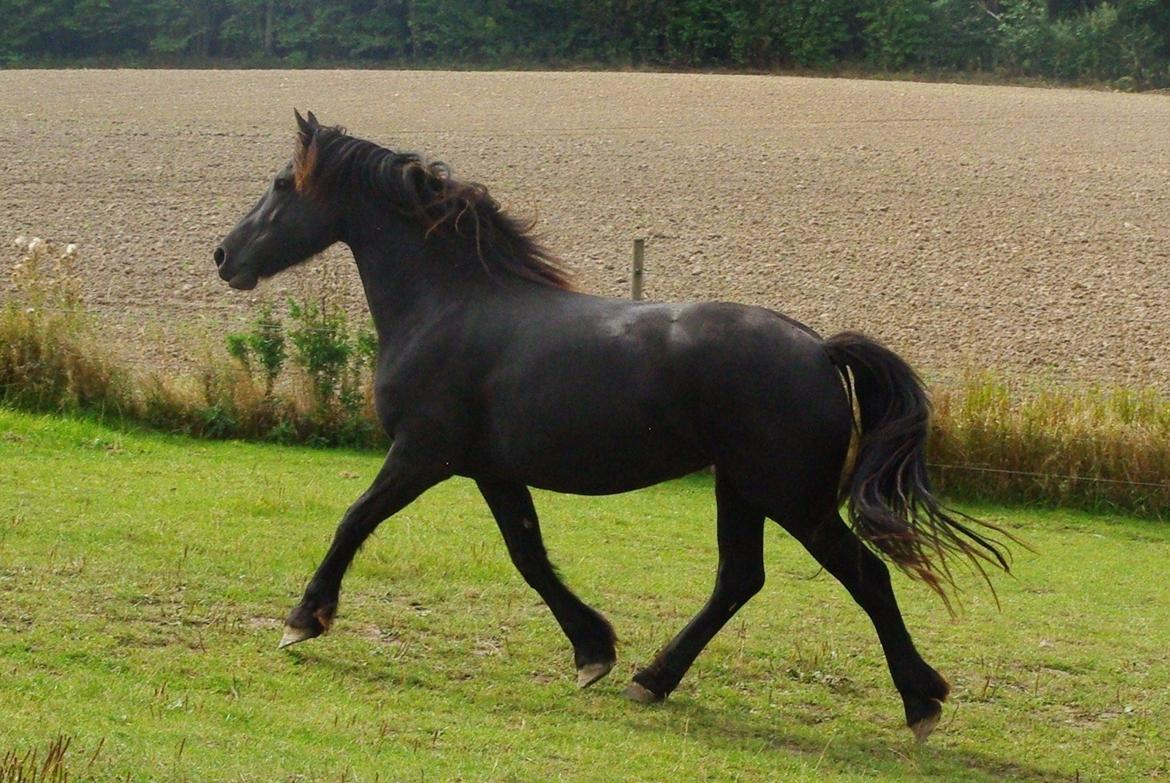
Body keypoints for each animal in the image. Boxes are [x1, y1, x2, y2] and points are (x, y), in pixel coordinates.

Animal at [215, 110, 1010, 739]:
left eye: (281, 185)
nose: (224, 256)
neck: (448, 303)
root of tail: (818, 349)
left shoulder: (423, 454)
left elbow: (354, 519)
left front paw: (302, 619)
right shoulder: (490, 470)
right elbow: (529, 556)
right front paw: (593, 651)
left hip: (791, 498)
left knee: (865, 575)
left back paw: (921, 704)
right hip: (741, 489)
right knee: (738, 579)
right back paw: (652, 679)